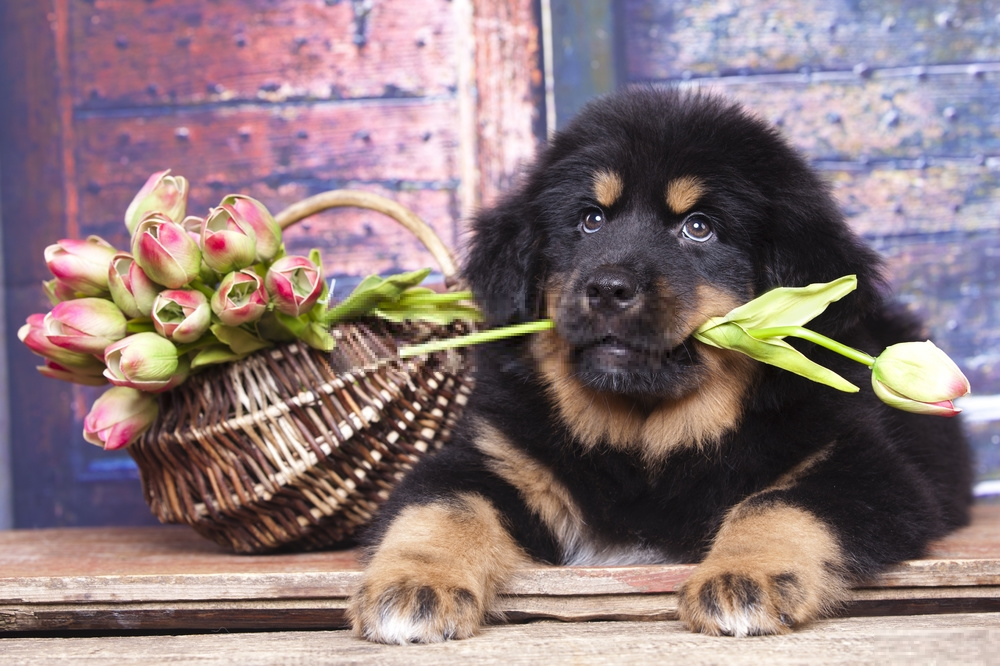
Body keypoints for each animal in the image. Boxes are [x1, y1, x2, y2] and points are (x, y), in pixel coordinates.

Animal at [348, 85, 972, 640]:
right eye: (590, 220)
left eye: (698, 227)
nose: (606, 289)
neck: (646, 441)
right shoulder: (489, 458)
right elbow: (444, 508)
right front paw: (412, 586)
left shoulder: (863, 467)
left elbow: (780, 504)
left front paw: (742, 578)